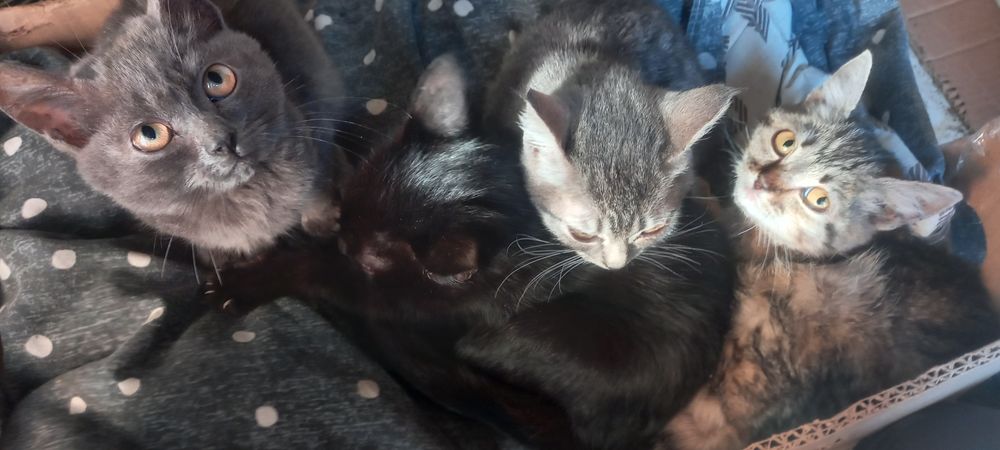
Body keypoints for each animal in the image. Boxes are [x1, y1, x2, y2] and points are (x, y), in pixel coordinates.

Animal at [0, 0, 345, 263]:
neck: (247, 196)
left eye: (217, 79)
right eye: (150, 135)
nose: (222, 140)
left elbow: (317, 187)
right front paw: (228, 256)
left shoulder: (308, 130)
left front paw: (322, 219)